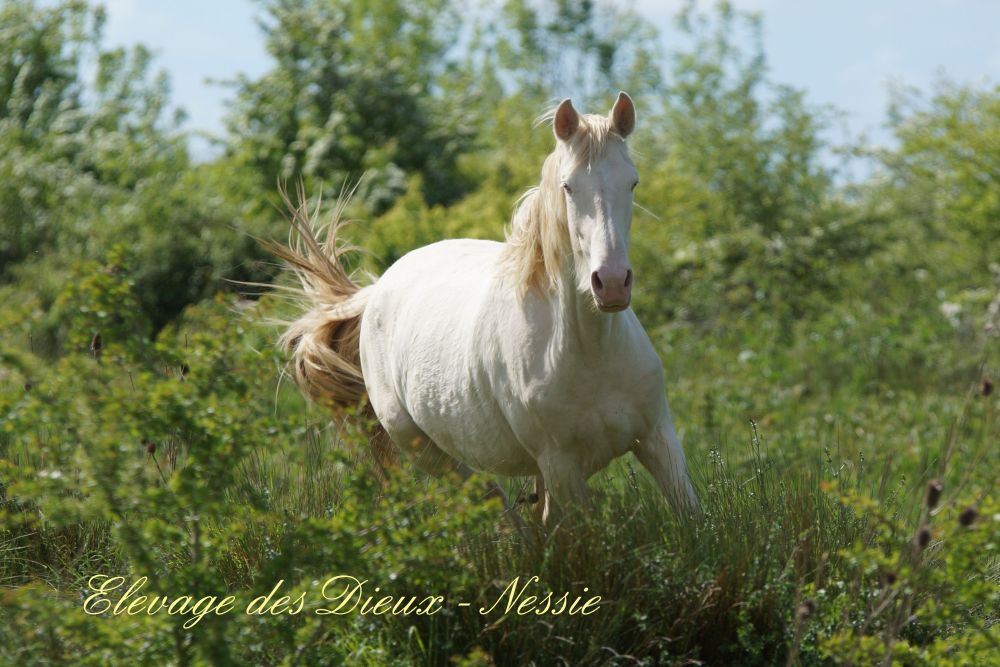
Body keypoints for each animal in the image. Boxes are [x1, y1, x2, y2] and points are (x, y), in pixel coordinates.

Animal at [274, 92, 700, 524]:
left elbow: (691, 518)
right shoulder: (562, 467)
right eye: (567, 187)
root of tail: (377, 289)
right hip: (435, 455)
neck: (590, 353)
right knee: (500, 509)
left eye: (632, 182)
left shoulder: (657, 439)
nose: (611, 283)